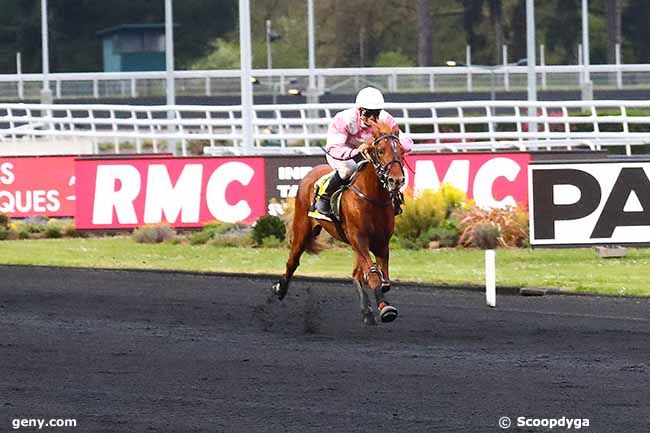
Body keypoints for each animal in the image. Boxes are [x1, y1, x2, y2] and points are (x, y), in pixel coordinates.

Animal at [270, 119, 402, 324]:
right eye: (380, 151)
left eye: (401, 150)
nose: (396, 180)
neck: (373, 198)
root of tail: (311, 172)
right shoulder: (359, 238)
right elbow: (374, 276)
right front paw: (385, 309)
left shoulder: (381, 242)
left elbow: (383, 279)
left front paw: (381, 306)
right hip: (302, 228)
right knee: (293, 260)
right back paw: (280, 288)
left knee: (357, 273)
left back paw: (366, 310)